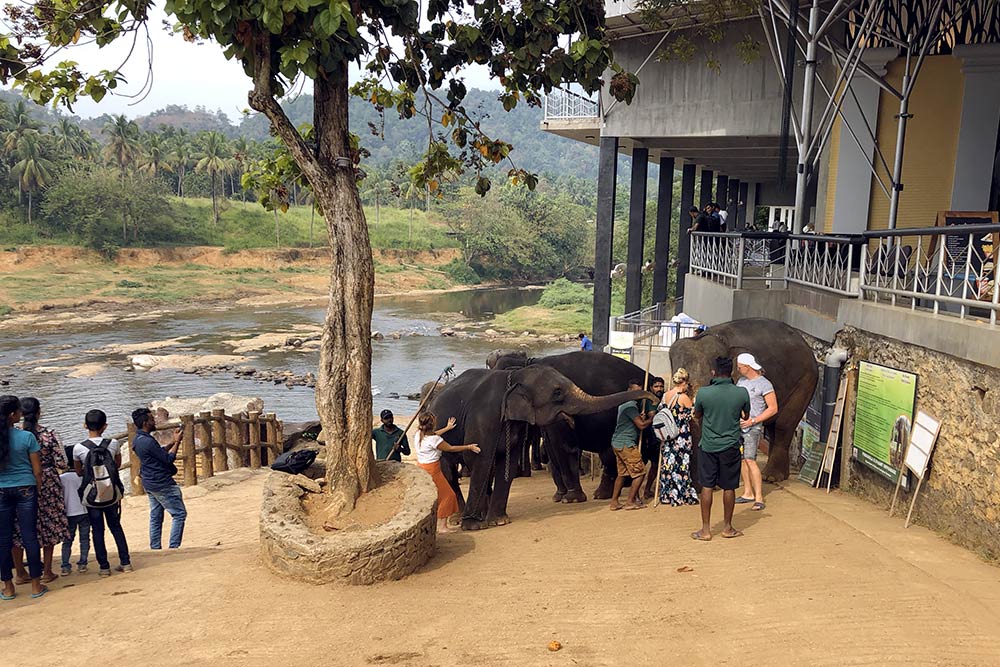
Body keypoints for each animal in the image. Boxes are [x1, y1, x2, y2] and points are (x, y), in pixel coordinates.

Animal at [428, 362, 652, 528]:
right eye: (558, 393)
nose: (652, 396)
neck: (514, 375)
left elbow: (506, 464)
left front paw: (500, 521)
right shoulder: (484, 417)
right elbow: (478, 459)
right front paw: (474, 526)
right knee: (449, 471)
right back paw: (459, 519)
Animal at [672, 318, 820, 480]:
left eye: (711, 382)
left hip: (805, 382)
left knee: (783, 425)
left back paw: (772, 477)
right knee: (773, 426)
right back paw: (771, 476)